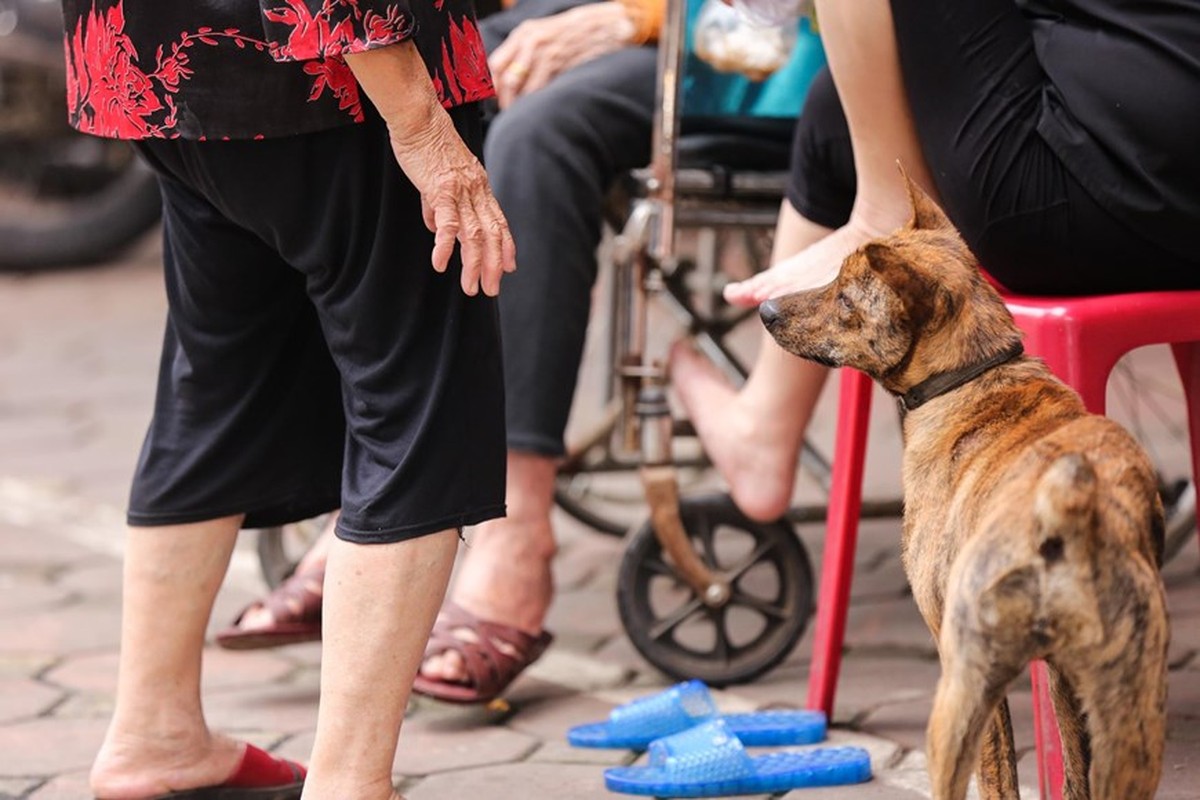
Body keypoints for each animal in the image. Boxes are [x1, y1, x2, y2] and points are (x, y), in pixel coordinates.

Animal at [763, 176, 1166, 800]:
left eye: (846, 300)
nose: (766, 309)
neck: (975, 374)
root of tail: (1076, 508)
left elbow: (1000, 780)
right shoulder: (1065, 679)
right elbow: (1073, 775)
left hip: (959, 695)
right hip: (1132, 700)